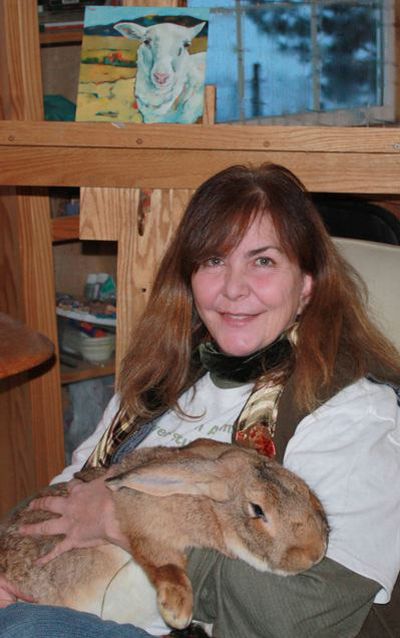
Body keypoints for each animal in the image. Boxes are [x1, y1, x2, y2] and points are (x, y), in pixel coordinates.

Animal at [0, 442, 328, 632]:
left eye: (303, 488)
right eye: (258, 510)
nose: (316, 553)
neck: (205, 504)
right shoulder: (141, 525)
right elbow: (164, 564)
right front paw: (177, 610)